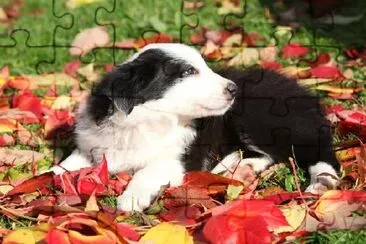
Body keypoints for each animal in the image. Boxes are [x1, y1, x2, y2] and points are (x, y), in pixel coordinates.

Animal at [51, 43, 340, 211]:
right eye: (188, 72)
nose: (232, 89)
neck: (146, 118)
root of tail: (303, 92)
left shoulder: (178, 157)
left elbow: (148, 170)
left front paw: (131, 199)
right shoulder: (93, 146)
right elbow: (67, 164)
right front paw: (48, 175)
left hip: (262, 116)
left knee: (315, 147)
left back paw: (323, 180)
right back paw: (237, 168)